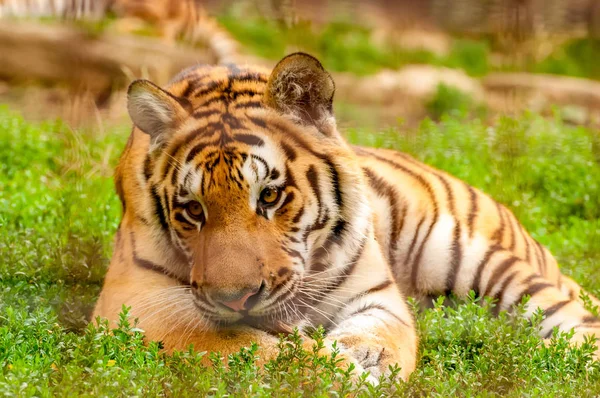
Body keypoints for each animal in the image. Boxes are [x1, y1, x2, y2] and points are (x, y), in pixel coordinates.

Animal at [92, 51, 600, 380]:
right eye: (193, 210)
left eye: (269, 196)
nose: (236, 300)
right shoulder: (141, 299)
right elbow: (250, 348)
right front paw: (335, 371)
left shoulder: (375, 294)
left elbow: (379, 335)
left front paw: (362, 362)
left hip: (476, 257)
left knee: (574, 319)